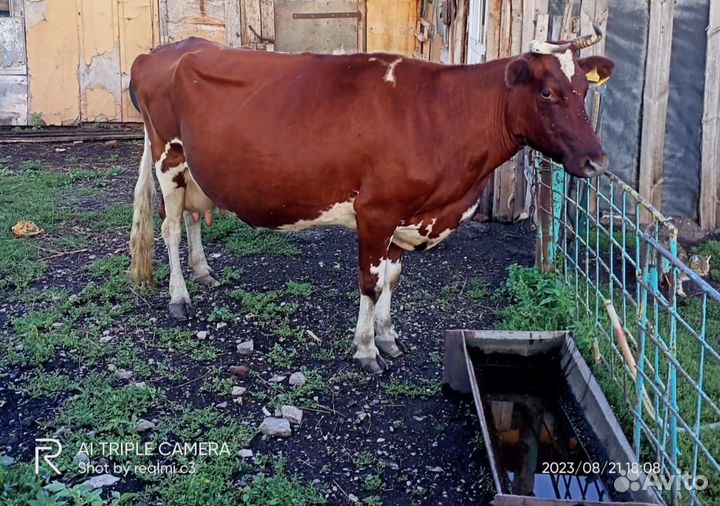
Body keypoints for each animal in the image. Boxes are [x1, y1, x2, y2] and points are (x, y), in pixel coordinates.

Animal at [128, 28, 614, 373]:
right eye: (547, 92)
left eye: (584, 90)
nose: (597, 160)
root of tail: (162, 51)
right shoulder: (376, 211)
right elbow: (370, 282)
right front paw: (365, 350)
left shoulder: (406, 216)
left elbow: (393, 279)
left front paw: (388, 337)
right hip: (168, 156)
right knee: (170, 228)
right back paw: (179, 297)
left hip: (194, 170)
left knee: (192, 217)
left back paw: (203, 272)